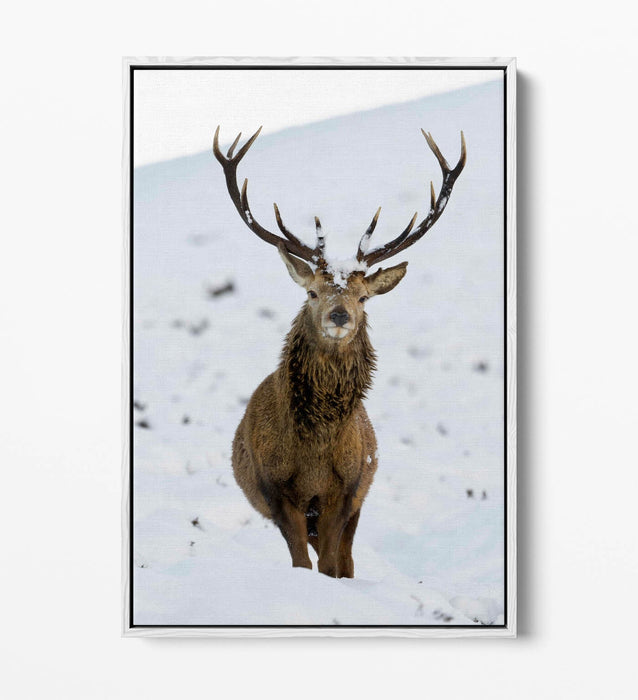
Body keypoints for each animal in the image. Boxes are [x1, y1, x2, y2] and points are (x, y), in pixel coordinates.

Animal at [213, 126, 466, 578]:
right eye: (312, 292)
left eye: (363, 297)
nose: (339, 315)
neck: (314, 451)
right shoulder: (276, 491)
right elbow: (301, 562)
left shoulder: (345, 491)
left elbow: (332, 563)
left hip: (360, 497)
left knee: (347, 558)